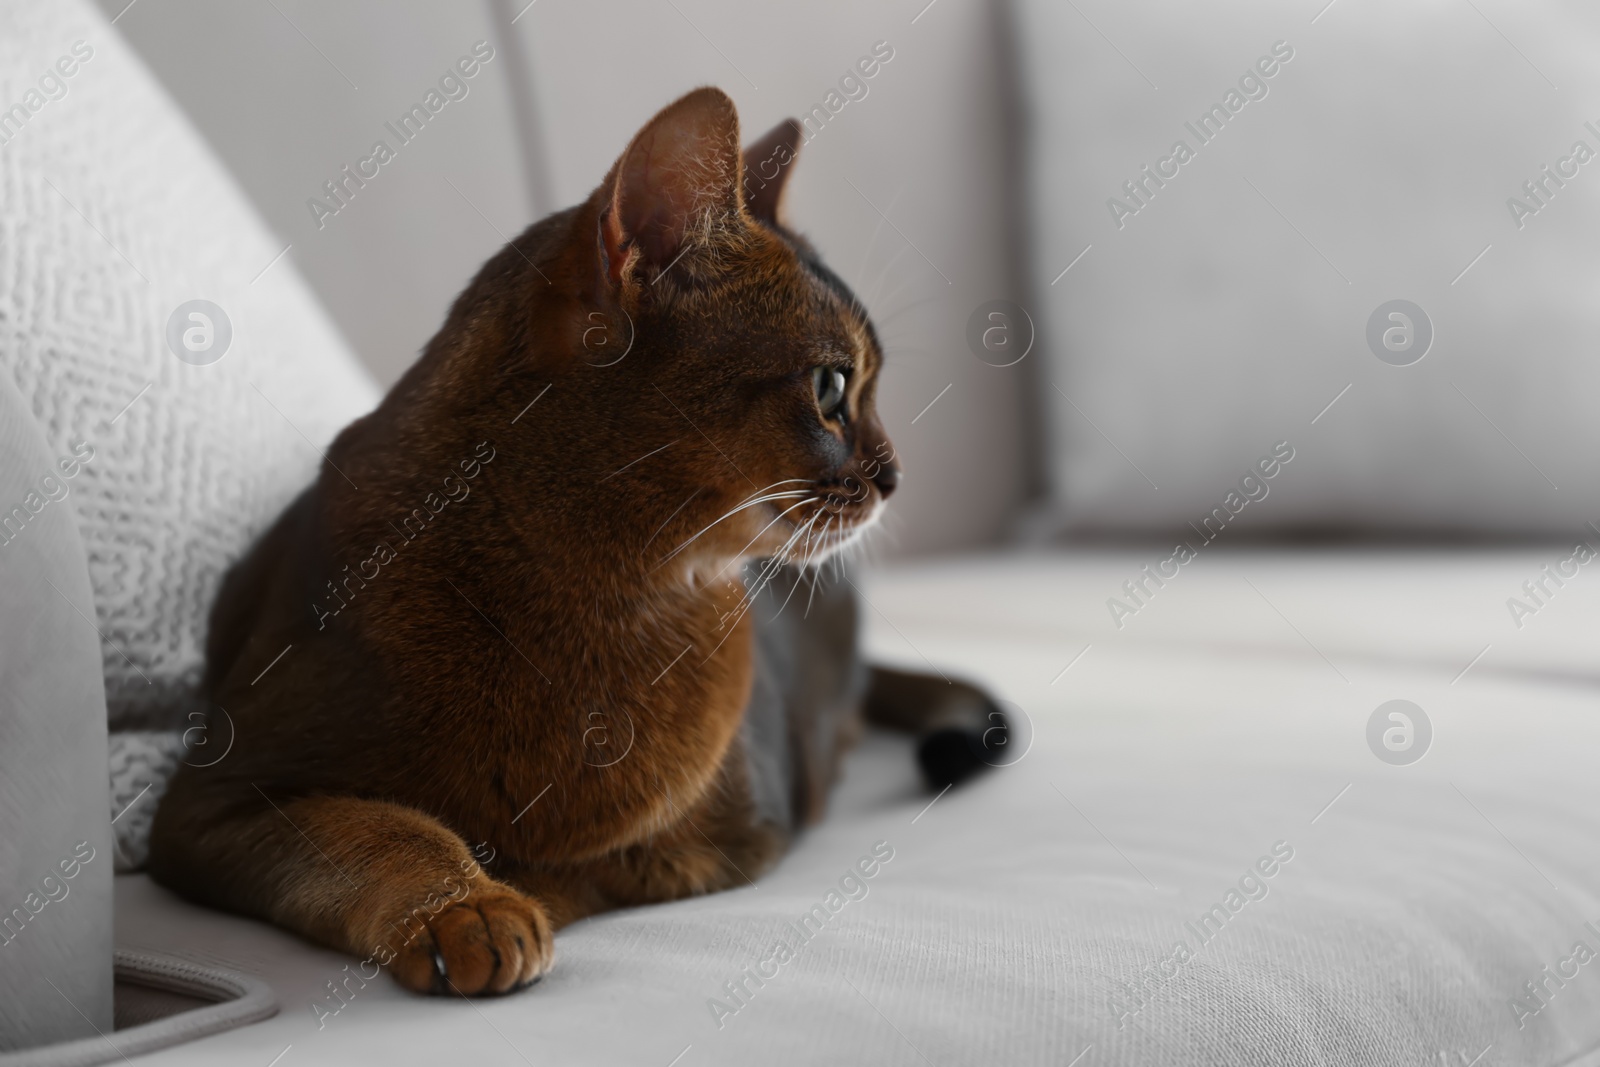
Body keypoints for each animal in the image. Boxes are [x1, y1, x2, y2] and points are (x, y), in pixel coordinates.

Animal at [147, 87, 998, 998]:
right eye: (833, 387)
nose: (896, 475)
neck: (598, 594)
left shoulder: (734, 827)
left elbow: (572, 862)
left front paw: (493, 895)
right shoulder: (213, 798)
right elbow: (380, 826)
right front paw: (464, 905)